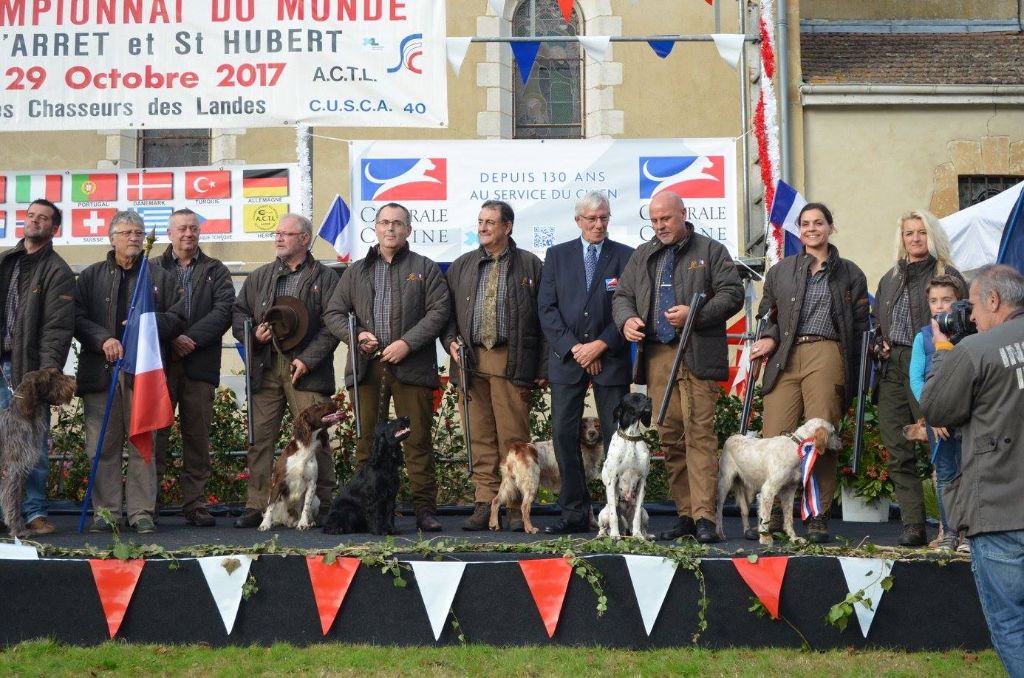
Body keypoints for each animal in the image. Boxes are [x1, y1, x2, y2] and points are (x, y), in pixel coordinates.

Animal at [0, 368, 75, 540]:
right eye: (52, 376)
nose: (73, 377)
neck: (22, 416)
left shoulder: (20, 472)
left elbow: (17, 501)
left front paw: (20, 528)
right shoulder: (14, 471)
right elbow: (12, 501)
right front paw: (17, 530)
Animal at [258, 401, 346, 532]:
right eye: (317, 406)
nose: (335, 402)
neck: (305, 448)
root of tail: (289, 522)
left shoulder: (311, 484)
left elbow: (306, 507)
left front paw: (303, 524)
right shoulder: (278, 483)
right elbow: (270, 508)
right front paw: (265, 524)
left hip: (316, 500)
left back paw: (310, 522)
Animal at [598, 393, 651, 540]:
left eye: (645, 396)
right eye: (635, 398)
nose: (650, 400)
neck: (631, 437)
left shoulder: (642, 482)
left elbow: (637, 517)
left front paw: (638, 535)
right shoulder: (612, 481)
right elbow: (614, 517)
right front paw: (615, 535)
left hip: (645, 514)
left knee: (639, 523)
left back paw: (645, 535)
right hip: (603, 513)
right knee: (603, 526)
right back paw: (604, 535)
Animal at [716, 419, 843, 548]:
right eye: (833, 432)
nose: (841, 443)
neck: (797, 446)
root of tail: (734, 436)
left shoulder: (789, 491)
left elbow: (789, 518)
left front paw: (794, 538)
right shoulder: (768, 490)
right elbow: (765, 518)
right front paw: (765, 538)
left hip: (747, 491)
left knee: (744, 511)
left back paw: (747, 531)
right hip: (724, 483)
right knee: (719, 510)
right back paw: (720, 533)